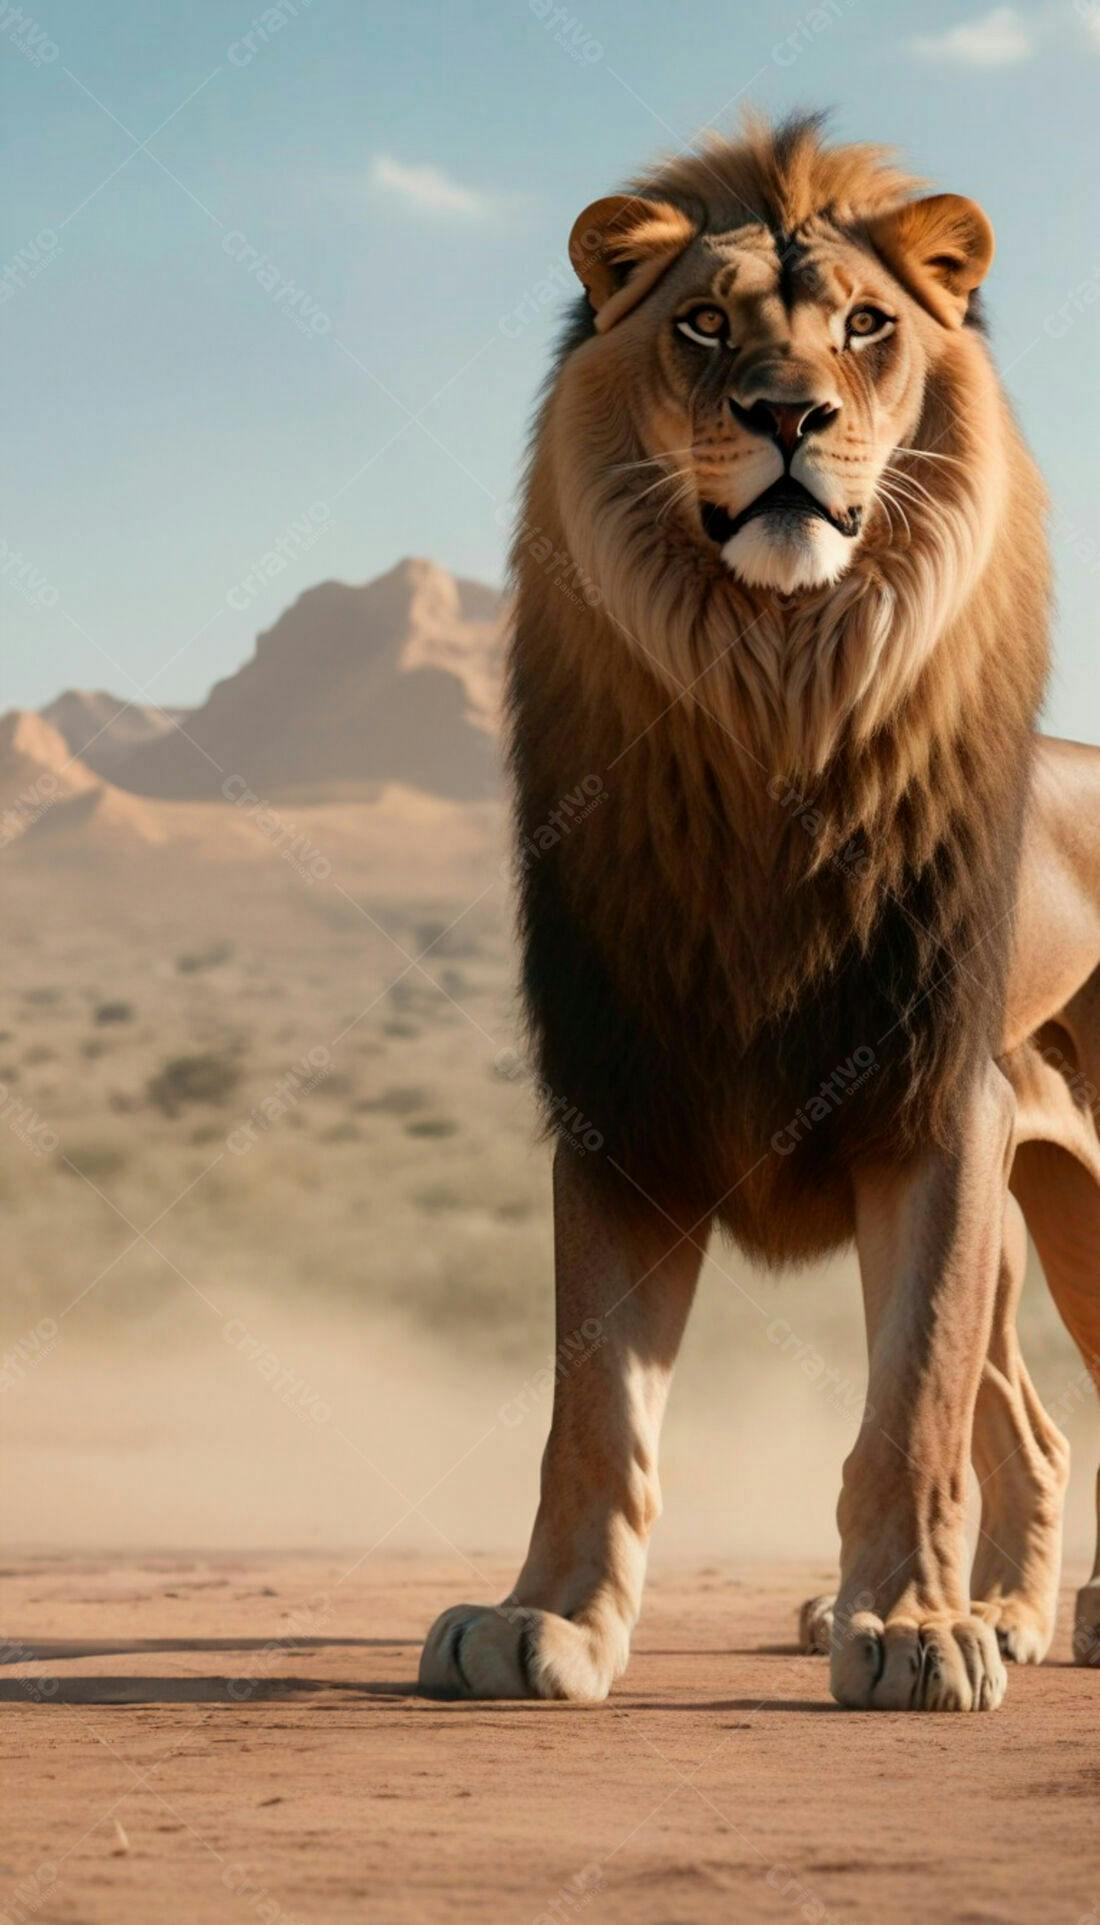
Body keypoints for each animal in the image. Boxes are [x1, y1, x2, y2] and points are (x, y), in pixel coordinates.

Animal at [420, 113, 1100, 1711]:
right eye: (704, 325)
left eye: (864, 326)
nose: (788, 415)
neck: (775, 690)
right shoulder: (622, 1092)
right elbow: (593, 1410)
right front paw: (543, 1621)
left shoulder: (931, 1106)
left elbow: (907, 1402)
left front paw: (909, 1630)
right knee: (1033, 1429)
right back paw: (1006, 1610)